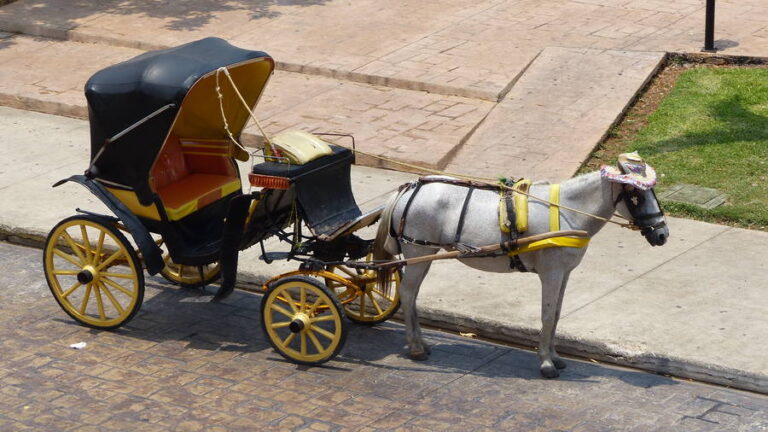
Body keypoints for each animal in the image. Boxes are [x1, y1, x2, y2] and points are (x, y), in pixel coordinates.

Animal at [374, 154, 664, 376]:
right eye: (636, 195)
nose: (662, 234)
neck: (566, 211)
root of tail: (407, 189)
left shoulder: (564, 273)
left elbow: (556, 314)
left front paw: (554, 356)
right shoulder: (551, 273)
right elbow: (547, 315)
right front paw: (546, 363)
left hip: (423, 256)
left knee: (412, 296)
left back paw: (420, 343)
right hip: (418, 250)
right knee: (407, 294)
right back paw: (415, 347)